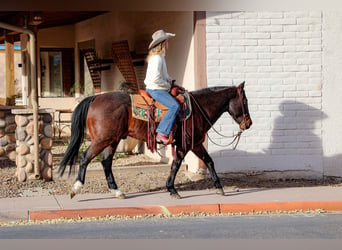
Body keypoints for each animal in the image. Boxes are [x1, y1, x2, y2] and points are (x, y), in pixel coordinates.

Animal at [58, 82, 251, 199]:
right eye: (245, 101)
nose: (248, 123)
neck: (198, 109)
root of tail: (95, 98)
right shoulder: (186, 145)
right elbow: (176, 165)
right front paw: (172, 189)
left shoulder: (194, 144)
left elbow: (209, 161)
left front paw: (219, 187)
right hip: (102, 140)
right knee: (85, 157)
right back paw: (76, 188)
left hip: (112, 140)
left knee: (106, 162)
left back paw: (117, 191)